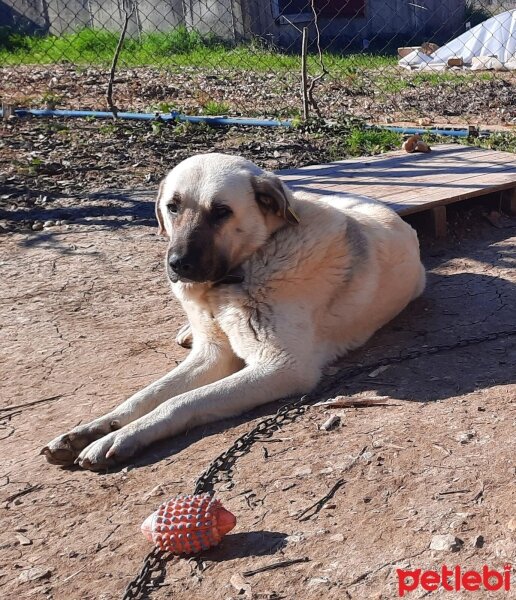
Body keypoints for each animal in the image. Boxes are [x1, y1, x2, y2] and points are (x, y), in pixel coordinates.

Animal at [42, 152, 426, 472]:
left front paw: (121, 437)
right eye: (172, 207)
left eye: (221, 211)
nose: (177, 265)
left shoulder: (282, 368)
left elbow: (180, 401)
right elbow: (147, 395)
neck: (244, 269)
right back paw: (186, 331)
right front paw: (93, 429)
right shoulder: (212, 354)